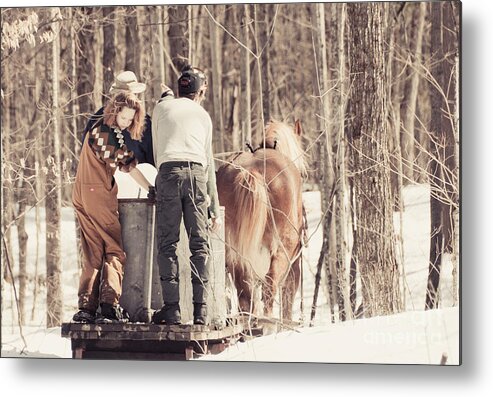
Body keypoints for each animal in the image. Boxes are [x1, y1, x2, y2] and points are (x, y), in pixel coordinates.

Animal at [217, 119, 306, 320]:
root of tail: (251, 171)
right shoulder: (293, 268)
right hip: (281, 252)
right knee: (269, 288)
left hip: (236, 256)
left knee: (245, 298)